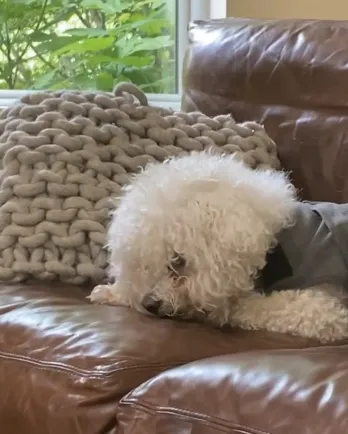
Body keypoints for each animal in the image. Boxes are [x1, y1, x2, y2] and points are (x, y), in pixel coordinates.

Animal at [87, 153, 348, 342]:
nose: (149, 304)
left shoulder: (323, 306)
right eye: (144, 266)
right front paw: (112, 292)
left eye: (178, 261)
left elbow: (247, 307)